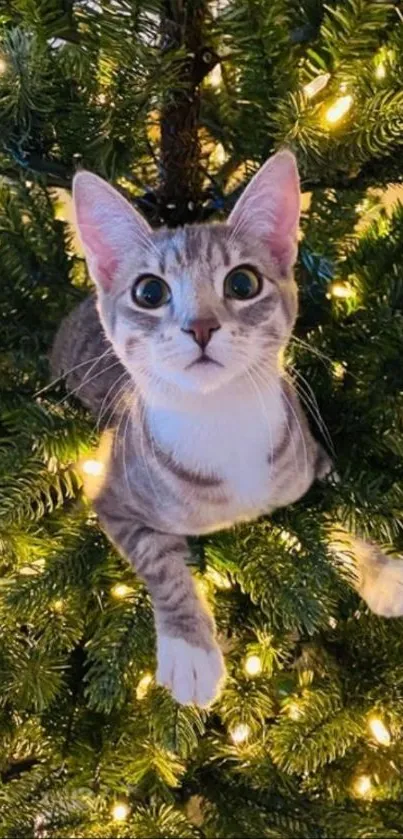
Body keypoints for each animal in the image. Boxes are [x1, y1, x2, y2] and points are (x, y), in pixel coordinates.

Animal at [52, 153, 403, 708]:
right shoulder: (109, 490)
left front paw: (381, 569)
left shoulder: (310, 453)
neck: (220, 417)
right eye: (149, 291)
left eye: (242, 283)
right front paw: (189, 649)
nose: (200, 326)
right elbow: (159, 561)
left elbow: (338, 508)